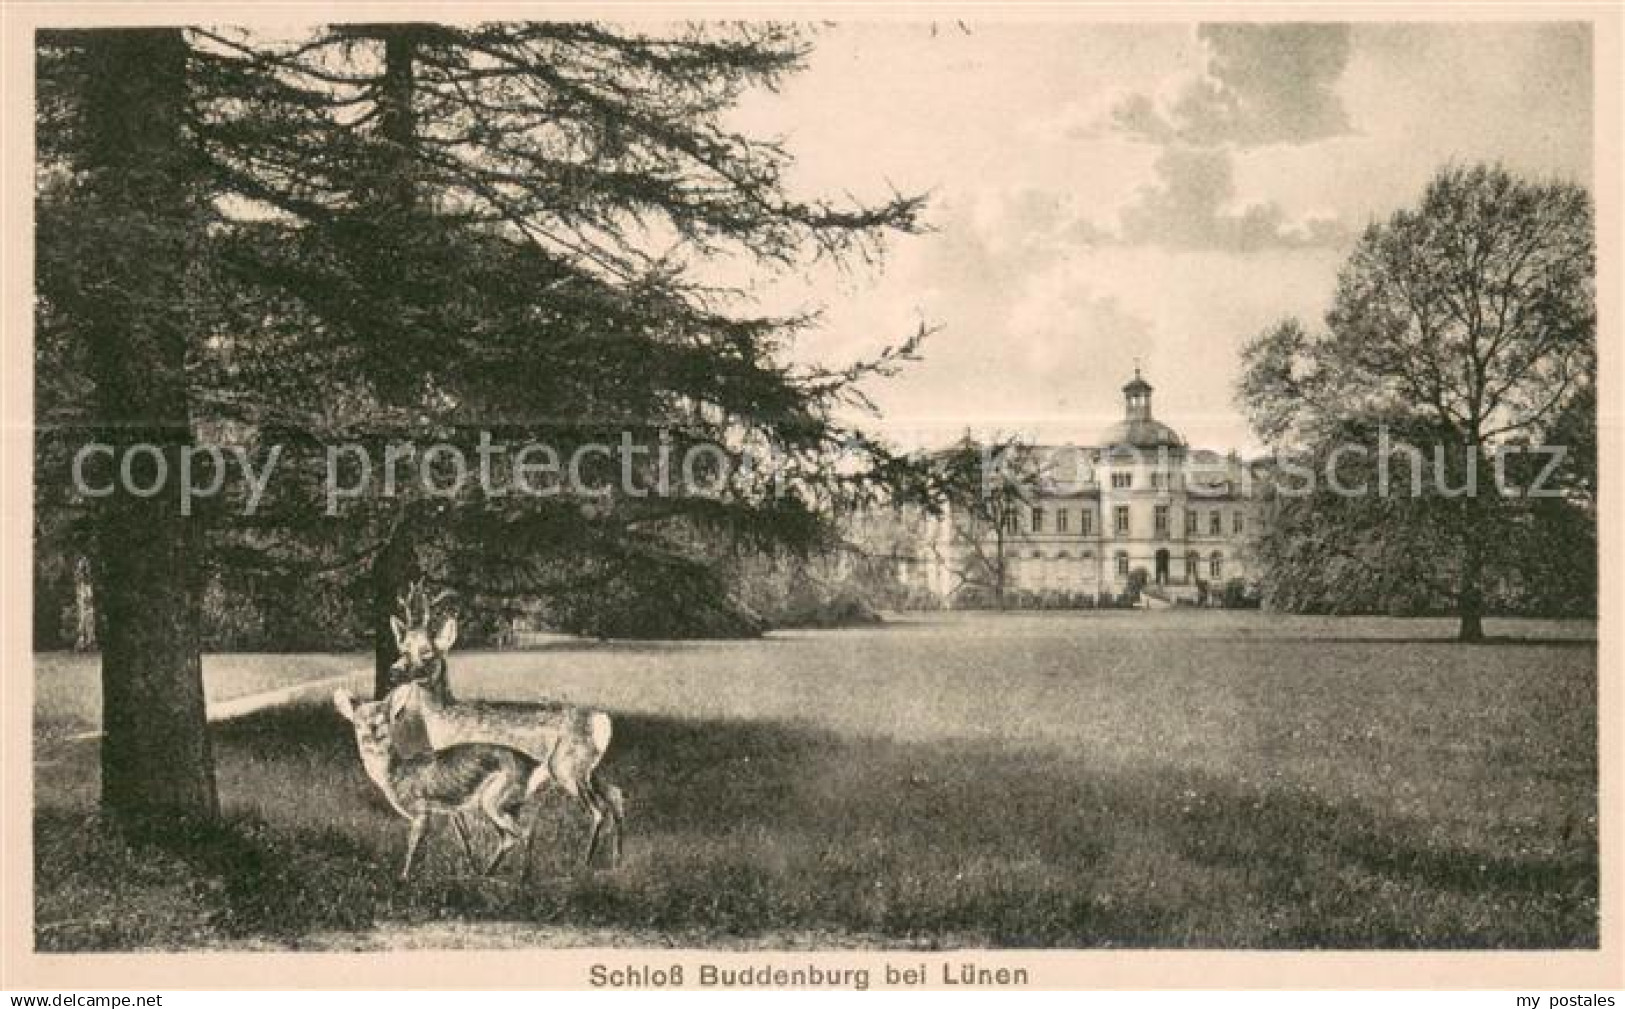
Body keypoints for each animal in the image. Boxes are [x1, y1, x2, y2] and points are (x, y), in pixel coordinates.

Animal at [333, 688, 549, 877]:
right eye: (356, 723)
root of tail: (534, 766)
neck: (396, 774)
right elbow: (464, 841)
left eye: (384, 721)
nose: (369, 737)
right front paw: (471, 870)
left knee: (524, 833)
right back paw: (486, 874)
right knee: (508, 839)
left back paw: (523, 879)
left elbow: (413, 845)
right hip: (502, 804)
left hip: (495, 800)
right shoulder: (452, 811)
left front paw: (404, 876)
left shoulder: (421, 809)